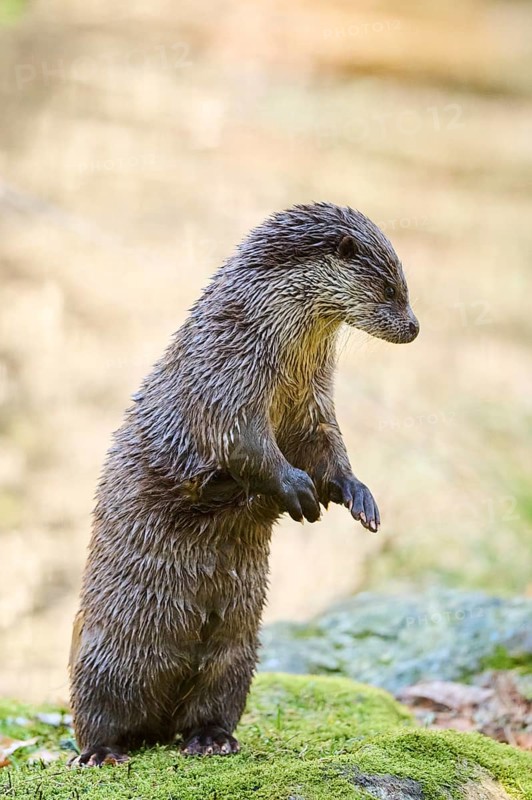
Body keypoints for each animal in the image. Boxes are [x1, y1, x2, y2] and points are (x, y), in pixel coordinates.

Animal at [69, 202, 419, 766]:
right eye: (390, 289)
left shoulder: (313, 404)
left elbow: (328, 449)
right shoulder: (226, 379)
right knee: (97, 713)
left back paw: (211, 740)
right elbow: (245, 445)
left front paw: (358, 495)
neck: (262, 337)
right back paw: (103, 753)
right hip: (104, 654)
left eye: (406, 287)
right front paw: (294, 490)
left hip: (238, 654)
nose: (414, 327)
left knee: (210, 703)